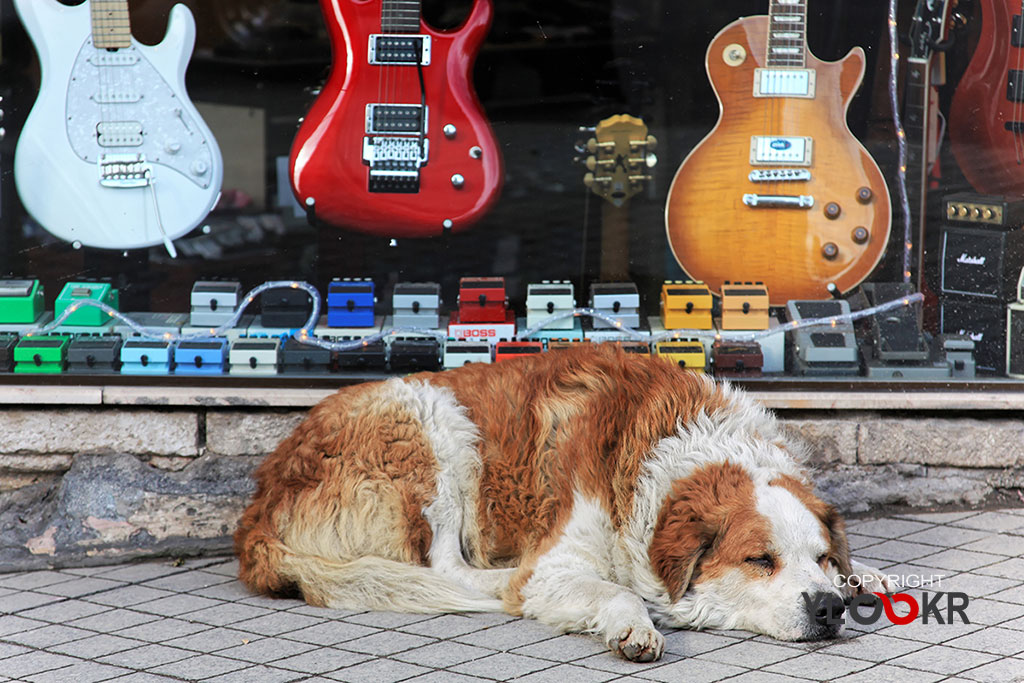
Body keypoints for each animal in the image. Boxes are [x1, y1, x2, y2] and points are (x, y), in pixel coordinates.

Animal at [235, 348, 892, 663]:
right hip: (434, 421)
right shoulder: (557, 566)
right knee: (447, 566)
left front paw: (867, 575)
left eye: (822, 558)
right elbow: (613, 591)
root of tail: (259, 507)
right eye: (760, 561)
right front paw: (633, 623)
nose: (830, 607)